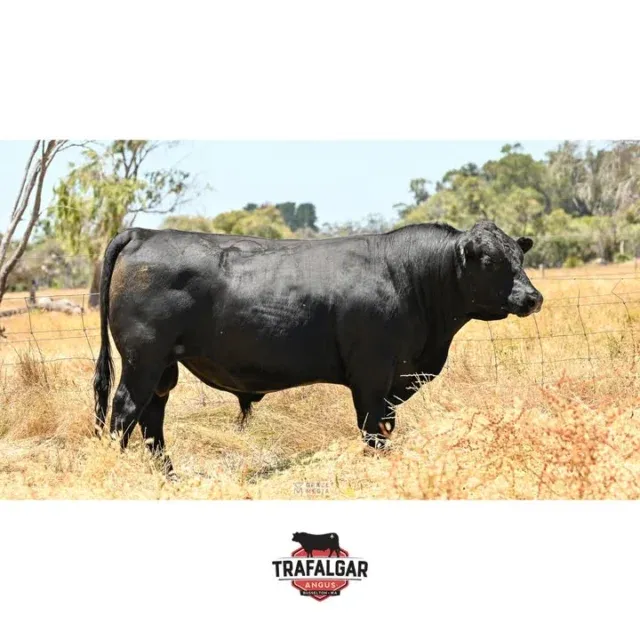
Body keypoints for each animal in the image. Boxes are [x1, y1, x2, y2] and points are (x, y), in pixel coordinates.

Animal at [93, 219, 543, 476]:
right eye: (489, 261)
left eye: (519, 256)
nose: (532, 297)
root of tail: (143, 232)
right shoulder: (372, 376)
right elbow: (374, 430)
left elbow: (385, 426)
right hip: (143, 359)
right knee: (126, 410)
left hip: (162, 367)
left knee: (152, 418)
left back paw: (167, 476)